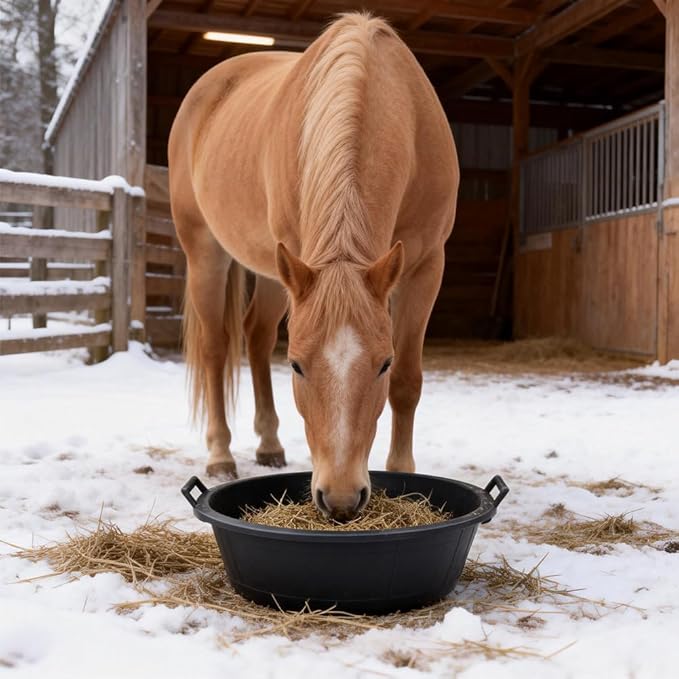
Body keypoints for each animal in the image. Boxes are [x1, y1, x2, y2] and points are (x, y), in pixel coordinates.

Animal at [169, 12, 459, 520]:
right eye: (298, 367)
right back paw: (221, 455)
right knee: (216, 347)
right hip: (204, 250)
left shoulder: (426, 265)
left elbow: (408, 382)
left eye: (382, 364)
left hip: (272, 268)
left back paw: (269, 446)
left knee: (257, 336)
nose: (340, 499)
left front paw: (405, 474)